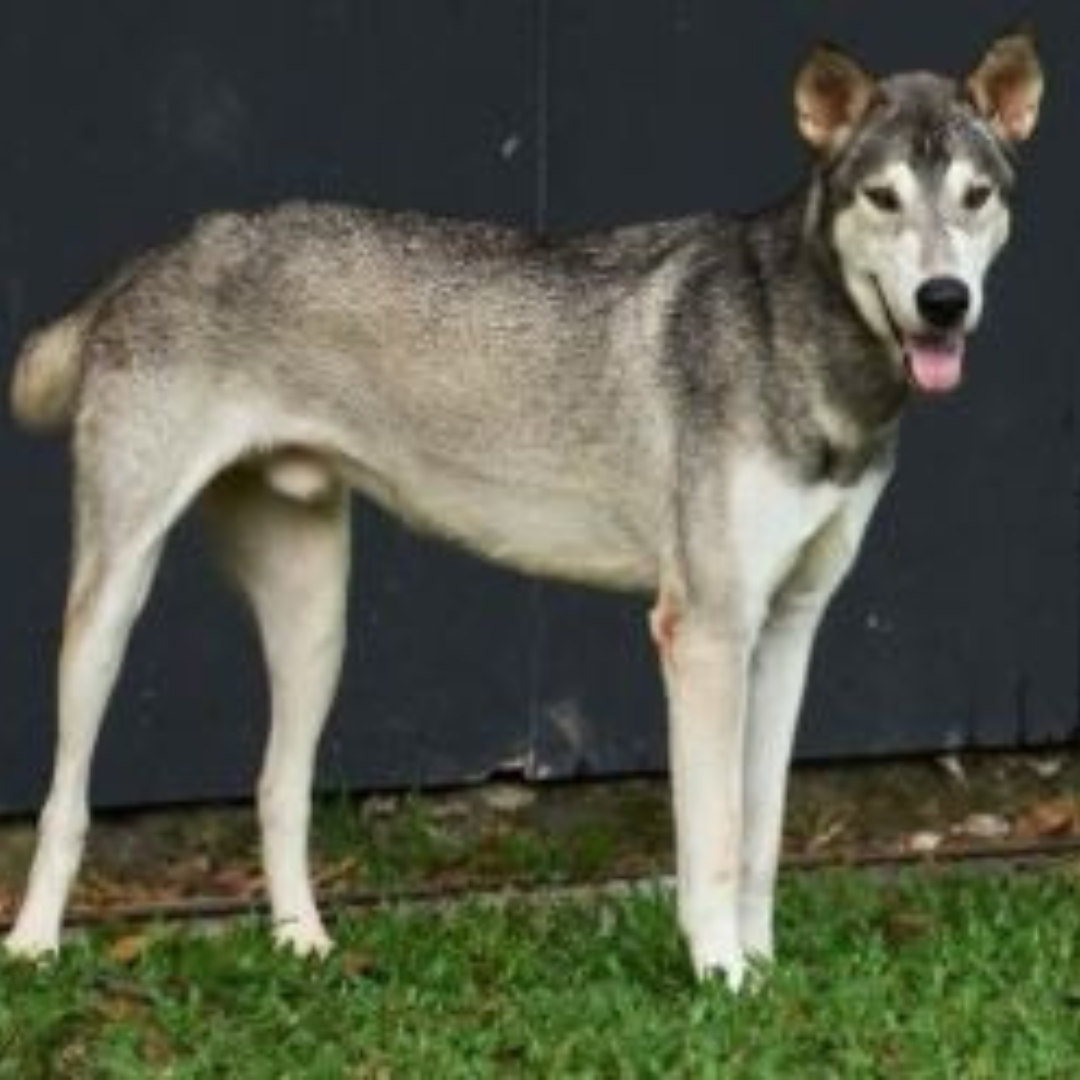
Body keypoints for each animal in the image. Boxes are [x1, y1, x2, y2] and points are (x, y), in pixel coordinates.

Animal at [4, 31, 1042, 989]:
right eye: (883, 198)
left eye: (976, 198)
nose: (943, 301)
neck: (797, 338)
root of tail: (163, 249)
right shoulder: (705, 636)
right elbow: (712, 836)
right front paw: (720, 979)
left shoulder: (786, 631)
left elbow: (761, 831)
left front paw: (763, 969)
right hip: (110, 611)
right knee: (66, 800)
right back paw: (35, 946)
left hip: (315, 623)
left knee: (277, 788)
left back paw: (304, 944)